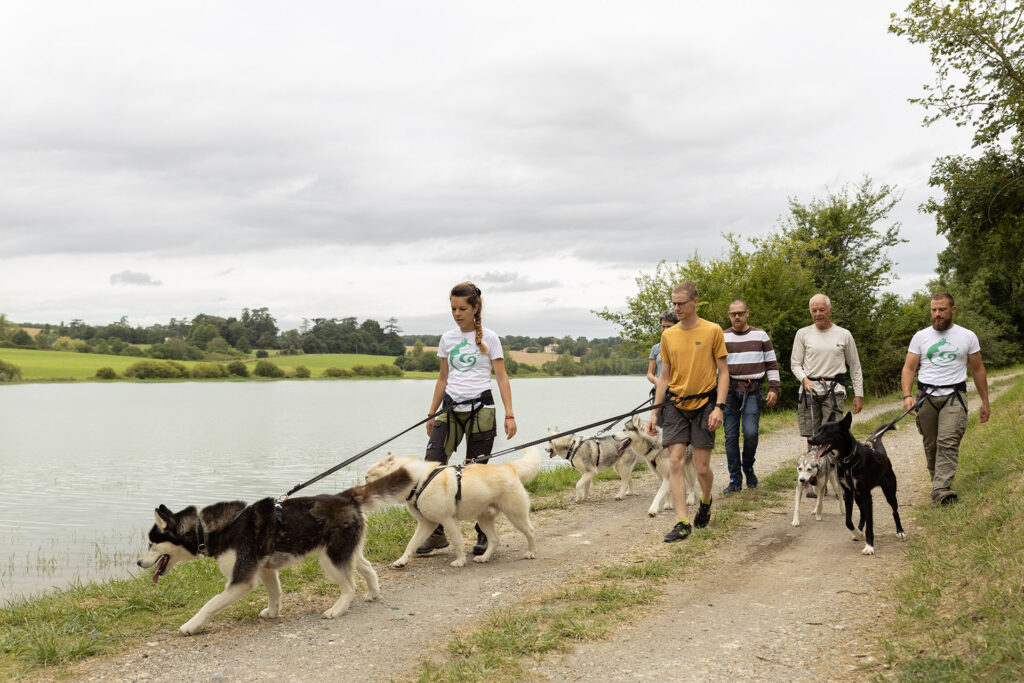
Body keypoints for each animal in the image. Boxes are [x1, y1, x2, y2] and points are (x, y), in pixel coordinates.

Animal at [806, 411, 905, 557]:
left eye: (827, 432)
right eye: (818, 430)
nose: (810, 440)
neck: (848, 461)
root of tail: (883, 455)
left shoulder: (867, 496)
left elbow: (870, 525)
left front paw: (869, 546)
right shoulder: (848, 493)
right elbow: (848, 521)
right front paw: (857, 533)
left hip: (889, 493)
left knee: (895, 511)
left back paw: (900, 531)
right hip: (857, 496)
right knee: (863, 513)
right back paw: (858, 531)